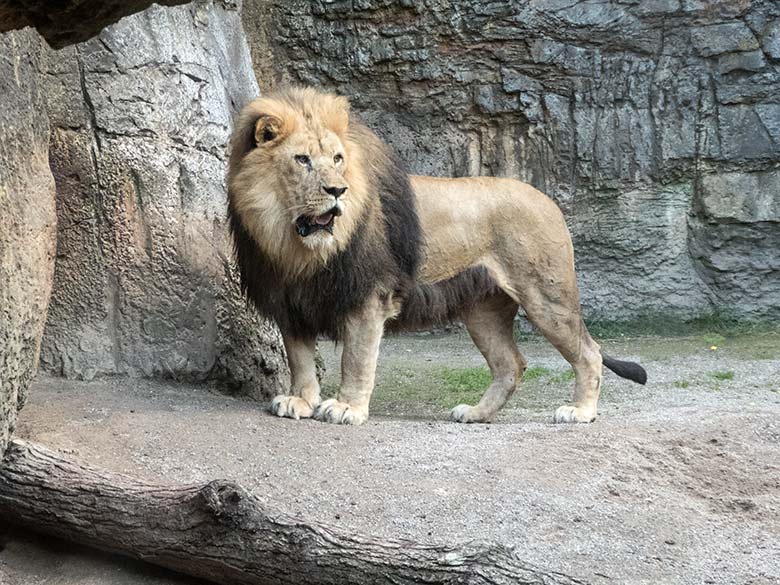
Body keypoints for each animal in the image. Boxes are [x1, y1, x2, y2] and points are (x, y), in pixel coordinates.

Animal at [229, 85, 648, 424]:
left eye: (337, 159)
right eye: (301, 159)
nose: (337, 191)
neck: (297, 247)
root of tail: (549, 201)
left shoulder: (369, 296)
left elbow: (356, 359)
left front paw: (347, 408)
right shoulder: (290, 301)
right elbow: (299, 360)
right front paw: (299, 401)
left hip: (547, 297)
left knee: (590, 353)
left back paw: (580, 412)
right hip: (484, 310)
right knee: (511, 365)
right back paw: (476, 413)